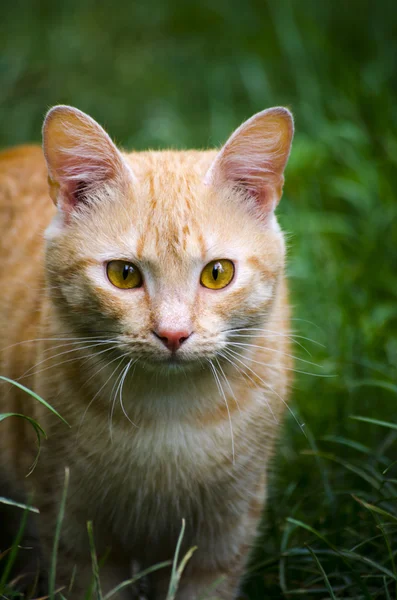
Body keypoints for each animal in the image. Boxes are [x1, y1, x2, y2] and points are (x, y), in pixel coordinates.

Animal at [0, 108, 290, 600]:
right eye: (123, 274)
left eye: (217, 273)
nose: (173, 333)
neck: (167, 419)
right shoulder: (73, 527)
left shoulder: (224, 532)